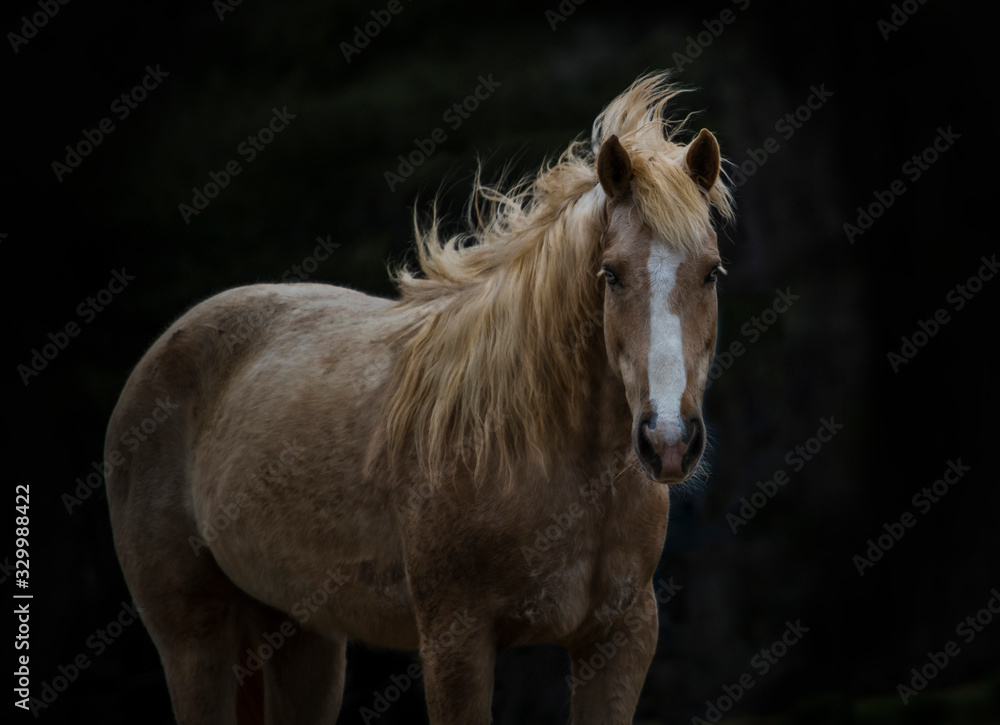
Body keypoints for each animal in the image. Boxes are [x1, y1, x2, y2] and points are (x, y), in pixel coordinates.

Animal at [105, 72, 735, 725]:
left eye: (711, 272)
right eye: (611, 275)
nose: (668, 441)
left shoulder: (620, 639)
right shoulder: (456, 644)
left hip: (302, 634)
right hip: (194, 641)